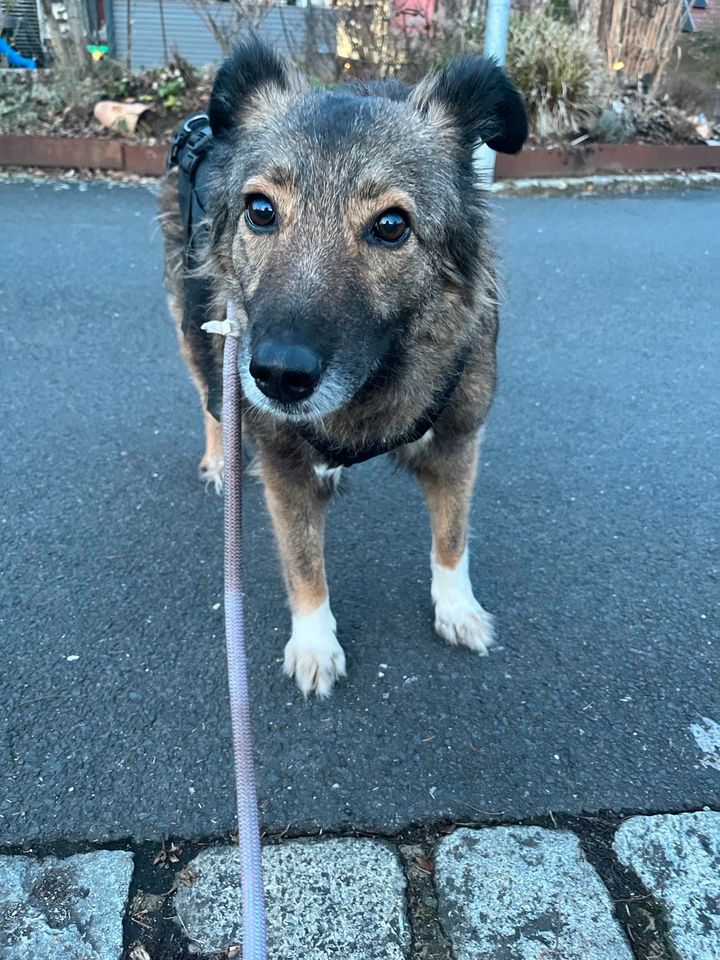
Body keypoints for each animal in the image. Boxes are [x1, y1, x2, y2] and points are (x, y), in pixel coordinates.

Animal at [159, 39, 528, 696]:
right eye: (260, 210)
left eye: (391, 225)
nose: (278, 377)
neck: (375, 384)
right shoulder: (282, 464)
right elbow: (305, 564)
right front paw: (314, 643)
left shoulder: (458, 440)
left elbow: (452, 537)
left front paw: (457, 608)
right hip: (198, 325)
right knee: (209, 398)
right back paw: (218, 460)